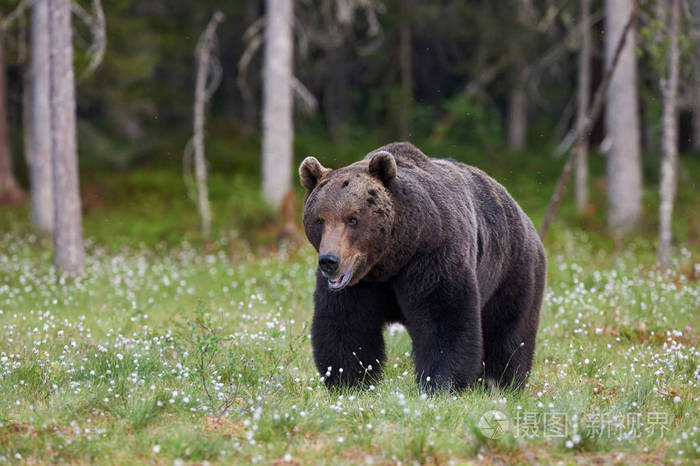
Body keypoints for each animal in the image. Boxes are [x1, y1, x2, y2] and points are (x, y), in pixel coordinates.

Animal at [298, 142, 546, 392]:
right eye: (319, 220)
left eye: (352, 219)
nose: (330, 261)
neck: (391, 259)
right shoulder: (360, 283)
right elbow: (347, 324)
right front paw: (348, 381)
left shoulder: (432, 257)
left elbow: (444, 318)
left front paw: (441, 382)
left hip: (511, 269)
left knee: (508, 329)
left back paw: (502, 381)